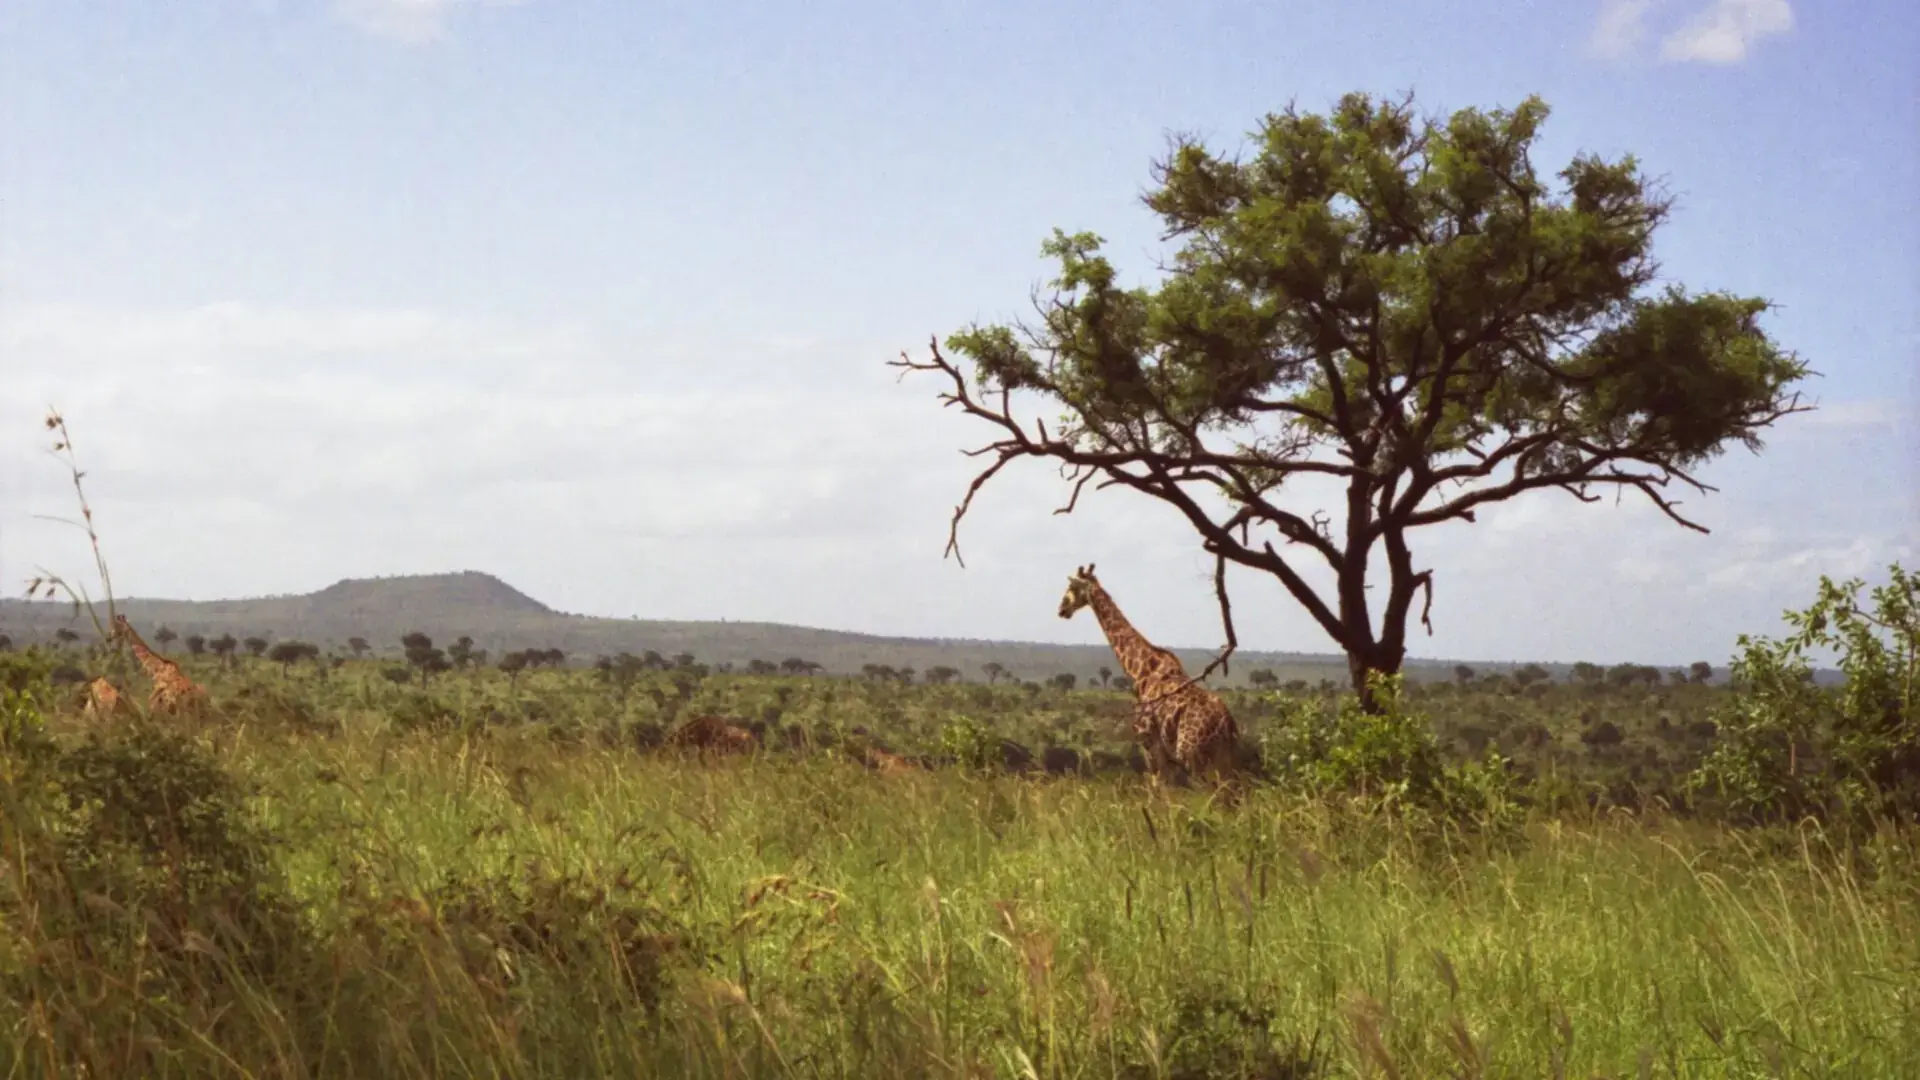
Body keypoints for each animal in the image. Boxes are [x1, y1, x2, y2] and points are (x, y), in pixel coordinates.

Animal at [1057, 564, 1239, 783]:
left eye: (1072, 587)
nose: (1061, 609)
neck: (1140, 670)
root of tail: (1226, 722)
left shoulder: (1148, 740)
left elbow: (1158, 787)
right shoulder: (1162, 749)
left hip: (1192, 755)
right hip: (1222, 759)